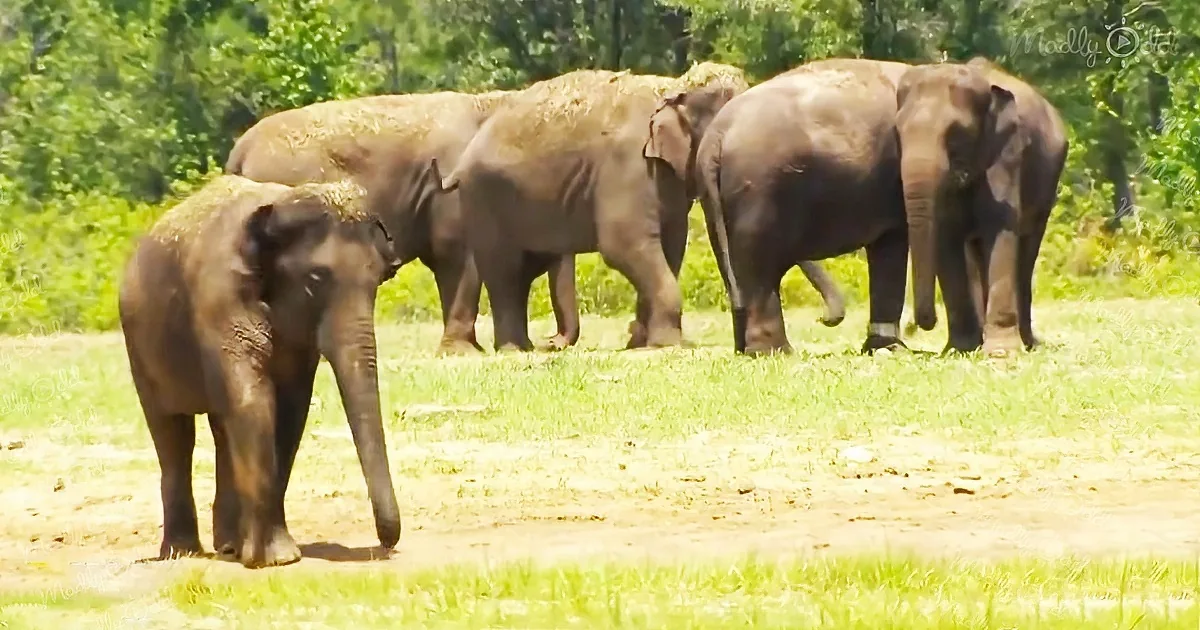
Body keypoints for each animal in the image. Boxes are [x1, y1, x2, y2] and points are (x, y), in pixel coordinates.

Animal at [118, 175, 404, 568]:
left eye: (380, 278)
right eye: (315, 279)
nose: (386, 545)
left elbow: (289, 412)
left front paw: (270, 555)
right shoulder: (220, 300)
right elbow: (255, 403)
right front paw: (276, 560)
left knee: (221, 428)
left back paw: (228, 546)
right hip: (140, 348)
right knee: (173, 434)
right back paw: (183, 553)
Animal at [431, 63, 847, 352]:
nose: (824, 319)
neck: (672, 89)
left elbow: (671, 246)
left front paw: (642, 341)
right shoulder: (628, 165)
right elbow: (624, 245)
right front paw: (669, 344)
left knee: (522, 270)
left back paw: (528, 346)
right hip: (483, 200)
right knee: (504, 269)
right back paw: (517, 349)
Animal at [697, 58, 915, 355]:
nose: (823, 319)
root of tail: (716, 136)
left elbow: (891, 241)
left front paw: (887, 349)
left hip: (715, 199)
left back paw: (747, 349)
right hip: (759, 190)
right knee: (758, 263)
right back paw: (775, 351)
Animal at [895, 57, 1068, 355]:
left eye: (957, 133)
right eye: (897, 132)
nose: (921, 324)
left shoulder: (1006, 153)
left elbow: (1000, 227)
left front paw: (1001, 353)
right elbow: (946, 237)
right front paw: (960, 349)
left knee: (1026, 254)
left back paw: (1027, 342)